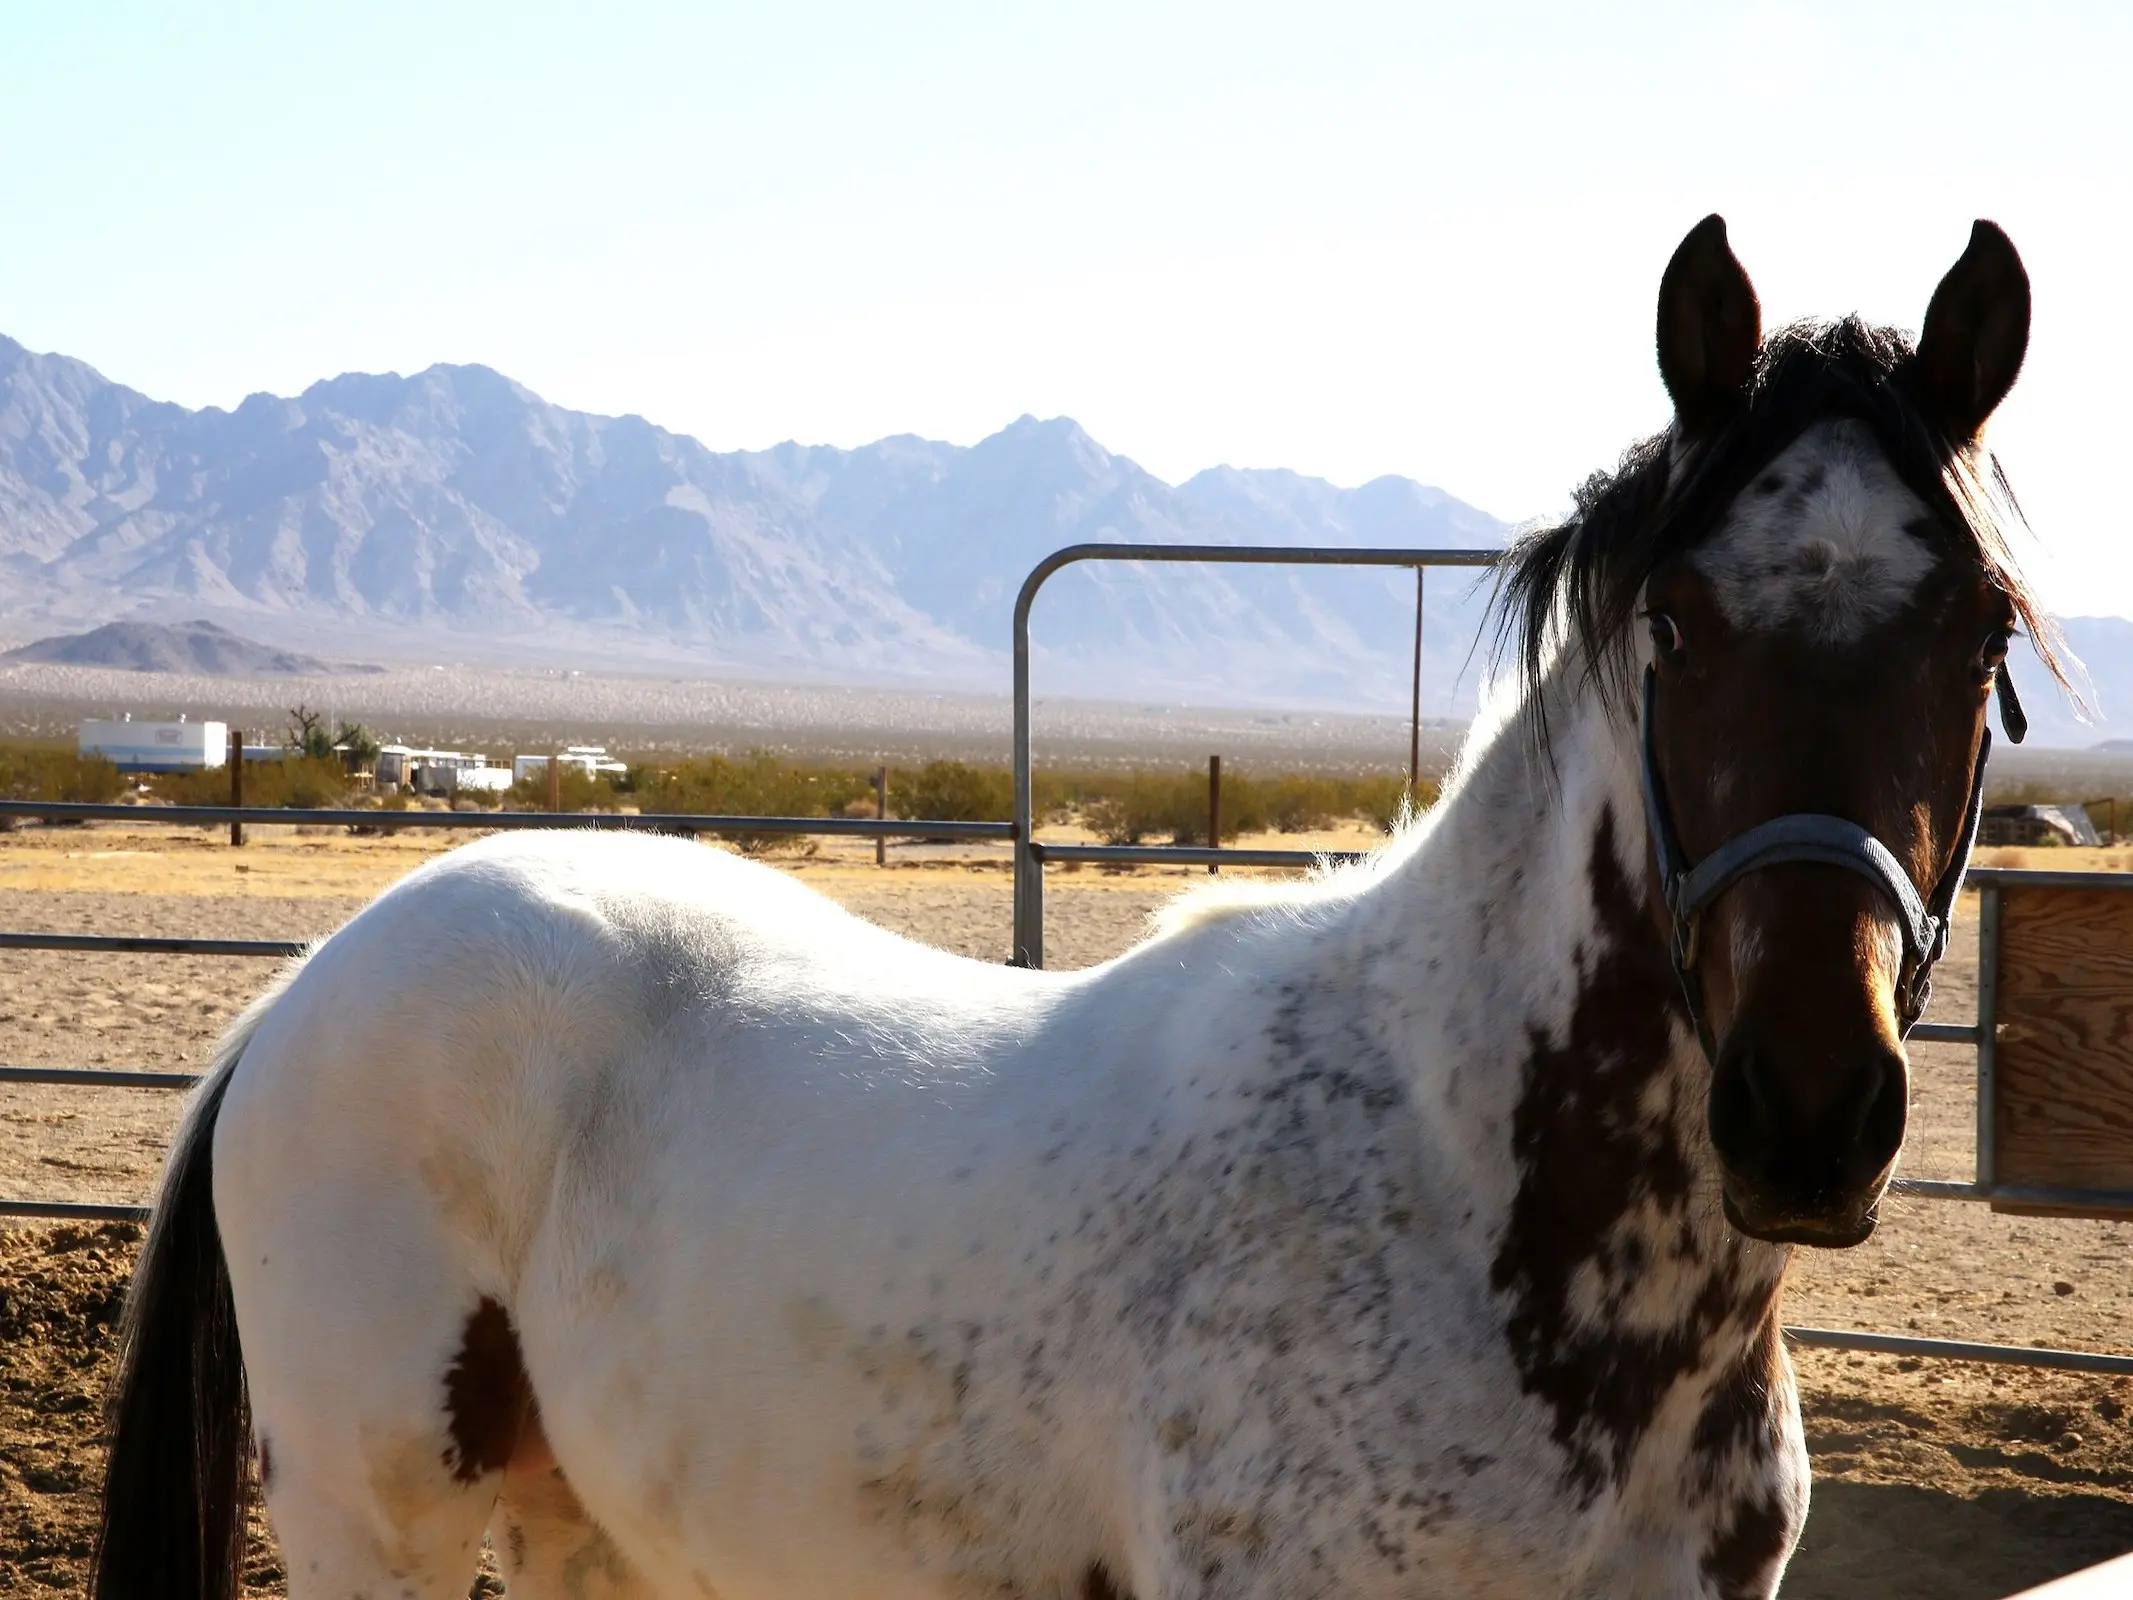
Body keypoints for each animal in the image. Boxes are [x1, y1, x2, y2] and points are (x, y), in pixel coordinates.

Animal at [95, 216, 2047, 1600]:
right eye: (1675, 627)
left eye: (1982, 636)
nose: (1808, 1109)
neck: (1466, 1186)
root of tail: (303, 996)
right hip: (380, 1534)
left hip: (599, 1535)